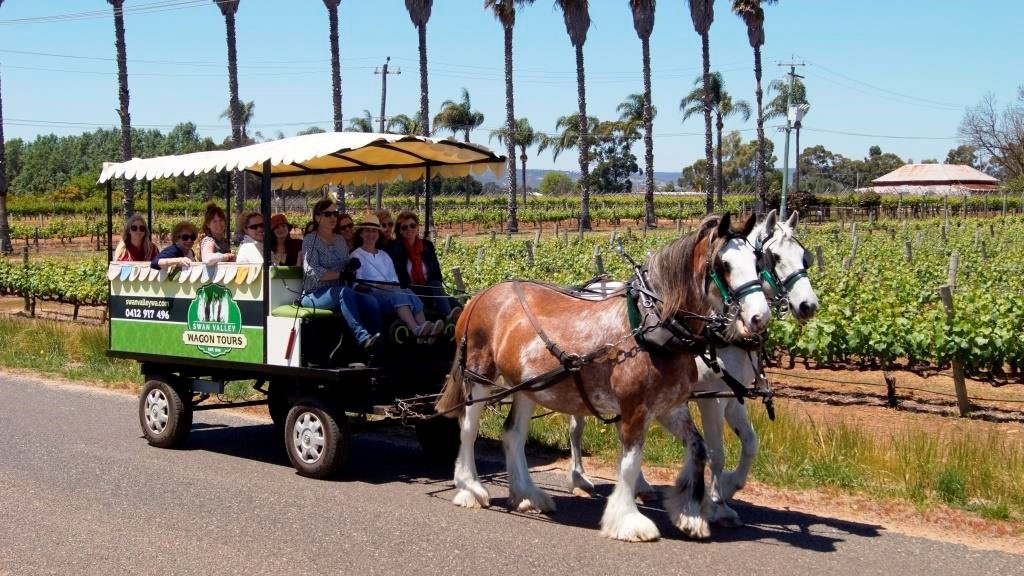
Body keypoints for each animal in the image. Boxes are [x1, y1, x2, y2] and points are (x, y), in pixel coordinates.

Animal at [436, 213, 770, 541]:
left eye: (758, 261)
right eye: (723, 265)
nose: (760, 318)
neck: (651, 324)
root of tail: (479, 296)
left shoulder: (668, 406)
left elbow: (698, 449)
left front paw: (689, 514)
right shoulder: (635, 408)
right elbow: (630, 464)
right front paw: (628, 520)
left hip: (528, 385)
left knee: (513, 434)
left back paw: (528, 495)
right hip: (478, 376)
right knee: (469, 428)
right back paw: (470, 488)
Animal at [569, 210, 815, 524]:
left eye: (805, 257)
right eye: (773, 258)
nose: (809, 305)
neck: (722, 332)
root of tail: (591, 287)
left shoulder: (732, 395)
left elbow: (750, 443)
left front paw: (730, 486)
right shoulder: (711, 398)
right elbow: (717, 452)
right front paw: (718, 504)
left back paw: (640, 485)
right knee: (577, 427)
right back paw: (579, 478)